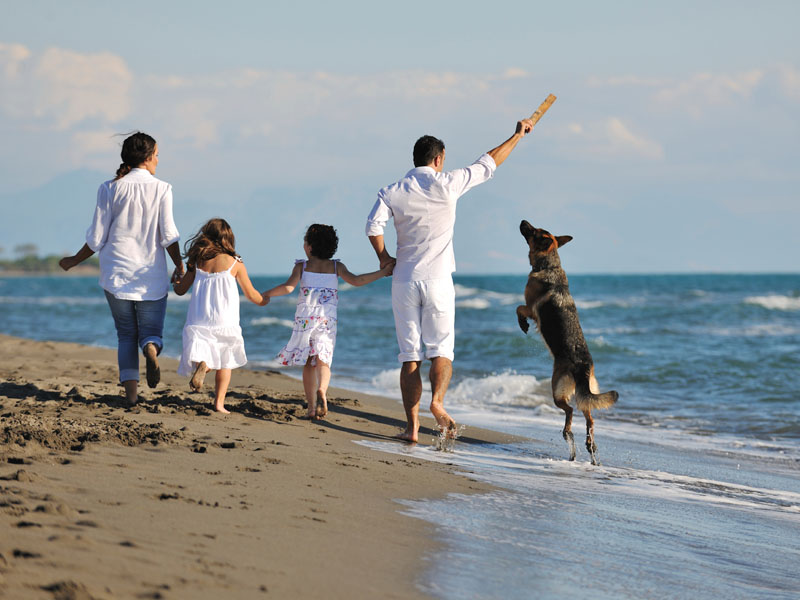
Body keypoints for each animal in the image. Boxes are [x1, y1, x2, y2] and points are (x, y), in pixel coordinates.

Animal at [516, 220, 620, 464]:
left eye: (534, 231)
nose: (523, 221)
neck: (550, 265)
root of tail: (584, 366)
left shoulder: (531, 307)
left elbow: (518, 308)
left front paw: (522, 324)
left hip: (557, 389)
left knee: (571, 410)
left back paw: (568, 434)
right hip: (584, 392)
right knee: (589, 416)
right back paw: (589, 444)